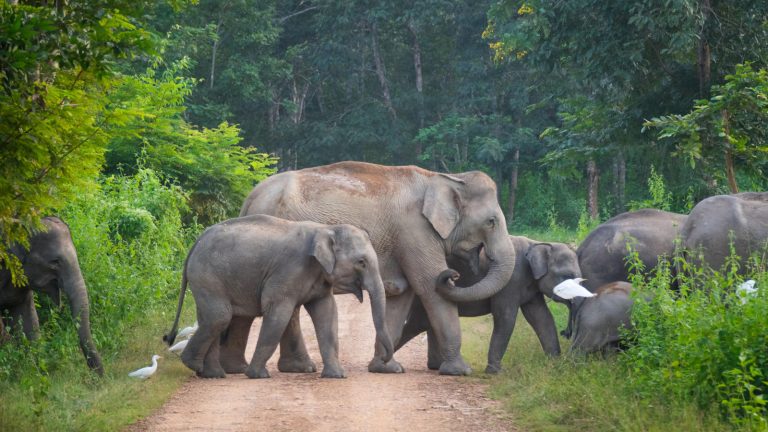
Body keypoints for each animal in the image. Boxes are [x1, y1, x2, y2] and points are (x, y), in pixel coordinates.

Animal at [163, 214, 393, 379]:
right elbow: (277, 314)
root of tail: (195, 243)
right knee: (219, 317)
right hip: (207, 276)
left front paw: (336, 376)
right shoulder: (289, 270)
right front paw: (257, 375)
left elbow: (327, 314)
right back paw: (195, 365)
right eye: (361, 262)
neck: (325, 228)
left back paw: (212, 374)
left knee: (211, 318)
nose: (384, 361)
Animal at [234, 161, 516, 376]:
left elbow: (401, 296)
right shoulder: (415, 231)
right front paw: (460, 371)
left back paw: (298, 368)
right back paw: (301, 368)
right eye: (491, 222)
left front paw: (386, 368)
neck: (445, 178)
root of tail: (250, 198)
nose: (453, 274)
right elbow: (429, 287)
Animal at [399, 236, 581, 373]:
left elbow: (542, 317)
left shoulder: (531, 287)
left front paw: (555, 364)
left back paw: (436, 366)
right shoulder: (511, 281)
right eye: (567, 276)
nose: (566, 332)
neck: (537, 243)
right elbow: (505, 317)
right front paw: (496, 372)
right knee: (419, 322)